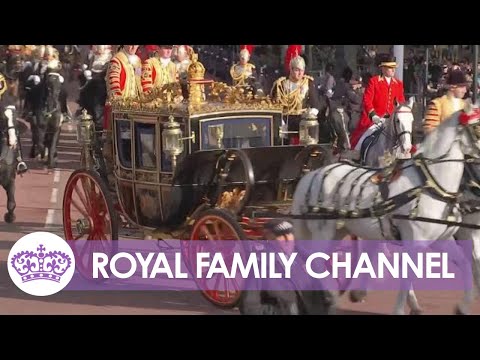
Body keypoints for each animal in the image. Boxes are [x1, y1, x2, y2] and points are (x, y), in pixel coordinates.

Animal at [290, 105, 480, 314]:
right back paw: (328, 296)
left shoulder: (442, 240)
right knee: (315, 262)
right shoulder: (415, 241)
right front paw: (400, 308)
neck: (431, 184)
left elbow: (466, 263)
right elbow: (407, 275)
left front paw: (463, 305)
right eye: (477, 128)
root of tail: (312, 174)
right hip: (323, 232)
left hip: (338, 231)